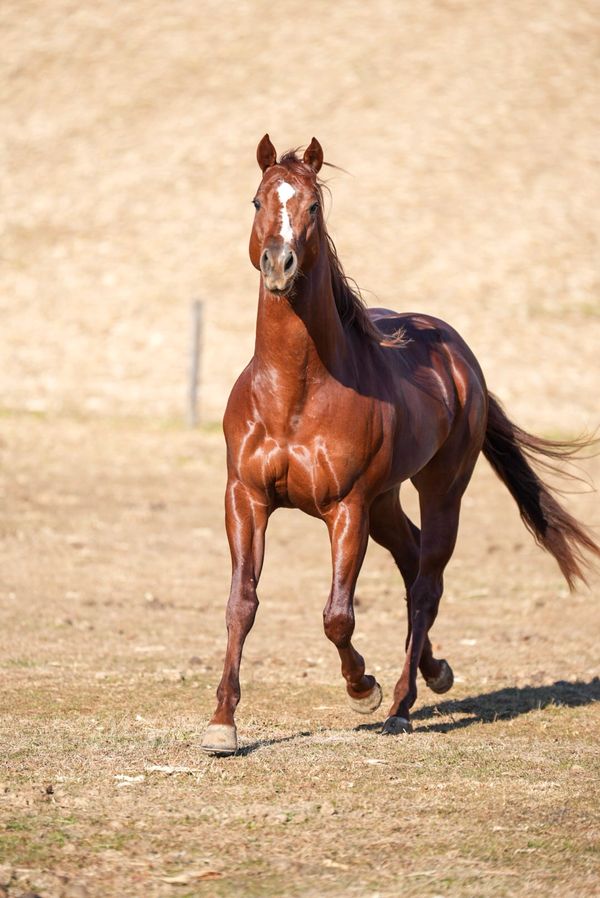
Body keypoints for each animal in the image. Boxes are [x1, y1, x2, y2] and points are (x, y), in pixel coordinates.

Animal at [201, 134, 599, 755]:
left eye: (313, 206)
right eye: (257, 200)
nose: (279, 264)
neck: (293, 393)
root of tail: (459, 356)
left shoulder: (347, 509)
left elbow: (338, 616)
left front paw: (362, 687)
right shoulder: (246, 498)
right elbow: (241, 604)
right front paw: (222, 723)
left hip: (438, 490)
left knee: (426, 581)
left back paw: (401, 704)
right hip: (386, 502)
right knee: (411, 561)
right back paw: (436, 672)